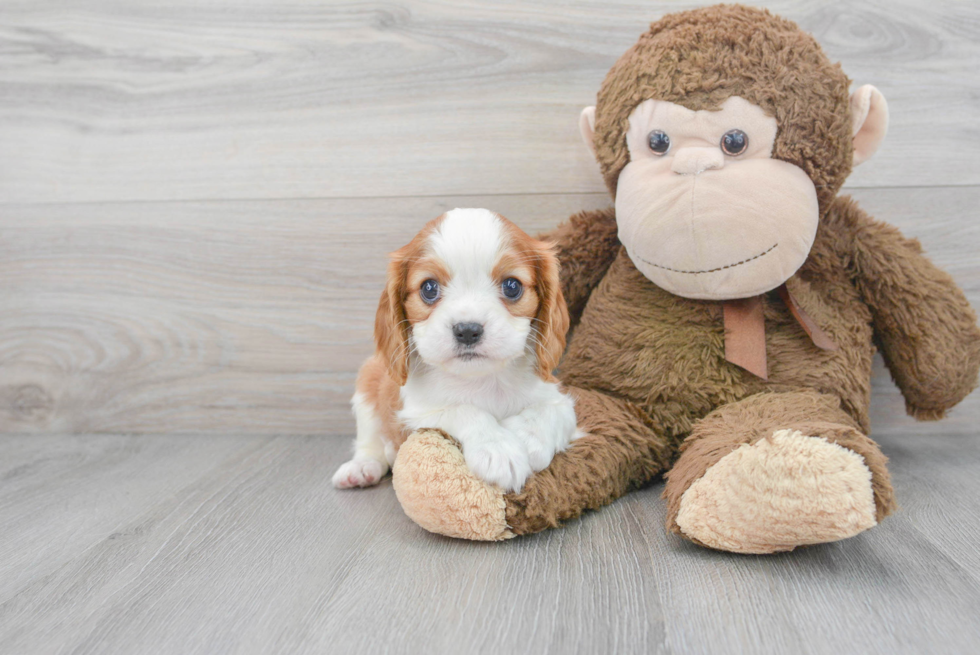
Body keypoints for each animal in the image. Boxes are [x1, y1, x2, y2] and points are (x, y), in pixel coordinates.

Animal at [336, 209, 580, 492]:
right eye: (429, 288)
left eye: (512, 286)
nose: (467, 330)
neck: (482, 379)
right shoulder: (416, 413)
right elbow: (461, 409)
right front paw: (499, 449)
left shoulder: (556, 397)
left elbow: (553, 411)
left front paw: (526, 439)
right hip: (368, 380)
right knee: (369, 440)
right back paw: (362, 467)